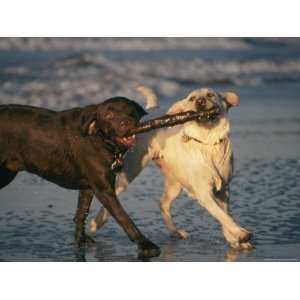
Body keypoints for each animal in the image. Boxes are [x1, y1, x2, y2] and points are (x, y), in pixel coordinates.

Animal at [90, 87, 252, 251]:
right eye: (192, 98)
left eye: (210, 95)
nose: (200, 101)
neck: (207, 143)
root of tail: (151, 111)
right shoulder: (204, 193)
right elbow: (221, 214)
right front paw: (240, 234)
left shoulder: (224, 190)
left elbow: (225, 214)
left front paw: (234, 239)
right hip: (131, 170)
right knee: (114, 194)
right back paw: (96, 223)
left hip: (175, 182)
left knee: (163, 203)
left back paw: (175, 232)